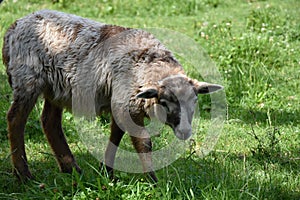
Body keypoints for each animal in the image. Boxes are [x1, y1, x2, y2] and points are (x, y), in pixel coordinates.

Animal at [2, 9, 223, 183]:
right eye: (164, 102)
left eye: (195, 101)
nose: (185, 132)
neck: (146, 64)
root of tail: (14, 25)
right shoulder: (125, 103)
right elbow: (144, 143)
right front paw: (153, 181)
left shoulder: (122, 103)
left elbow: (116, 136)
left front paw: (107, 173)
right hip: (27, 79)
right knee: (15, 119)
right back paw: (23, 174)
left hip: (56, 88)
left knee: (49, 122)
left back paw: (71, 170)